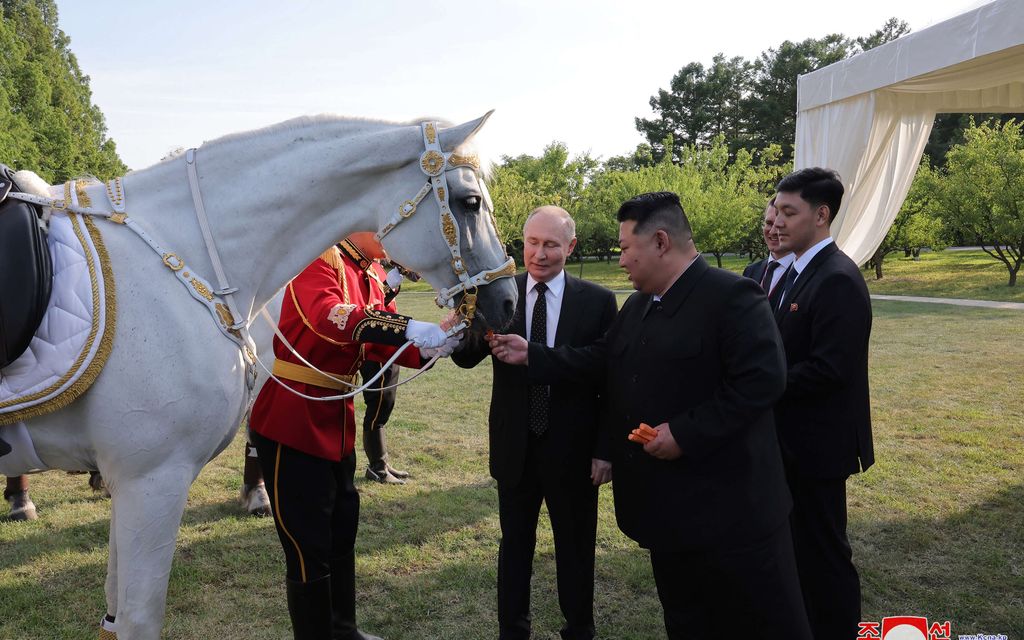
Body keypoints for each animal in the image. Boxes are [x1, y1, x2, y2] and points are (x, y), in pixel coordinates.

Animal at [0, 112, 512, 634]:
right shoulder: (152, 478)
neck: (190, 259)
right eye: (470, 202)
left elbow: (113, 613)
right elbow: (139, 619)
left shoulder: (135, 479)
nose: (508, 302)